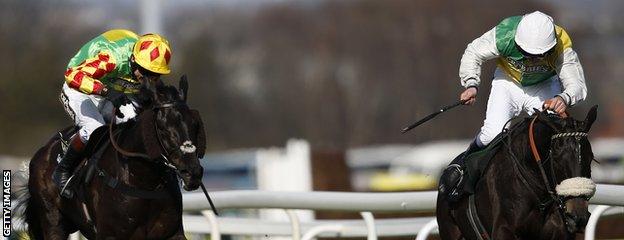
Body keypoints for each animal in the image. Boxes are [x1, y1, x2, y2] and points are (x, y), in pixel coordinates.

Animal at [17, 78, 205, 239]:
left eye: (195, 124)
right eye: (163, 128)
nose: (193, 173)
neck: (143, 181)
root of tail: (43, 152)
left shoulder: (171, 233)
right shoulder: (110, 234)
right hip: (52, 221)